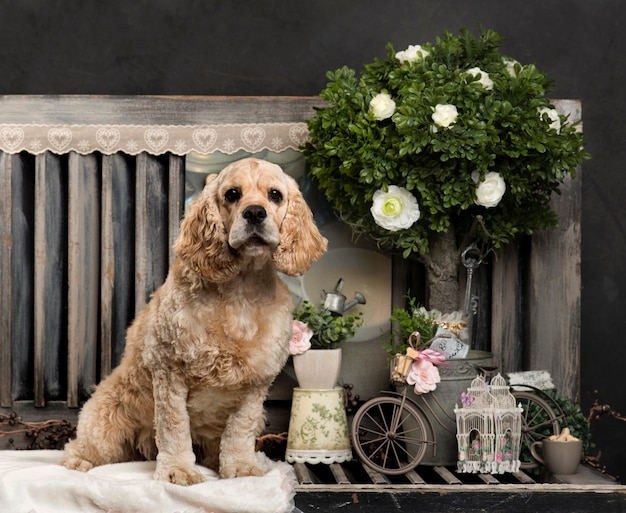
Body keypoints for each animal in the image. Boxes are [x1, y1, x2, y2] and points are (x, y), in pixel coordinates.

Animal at [60, 157, 326, 484]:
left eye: (275, 195)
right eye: (232, 194)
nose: (254, 213)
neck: (240, 291)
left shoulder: (256, 384)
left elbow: (240, 430)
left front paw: (240, 467)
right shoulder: (169, 371)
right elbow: (174, 428)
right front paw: (178, 470)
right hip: (105, 419)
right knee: (82, 446)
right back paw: (78, 462)